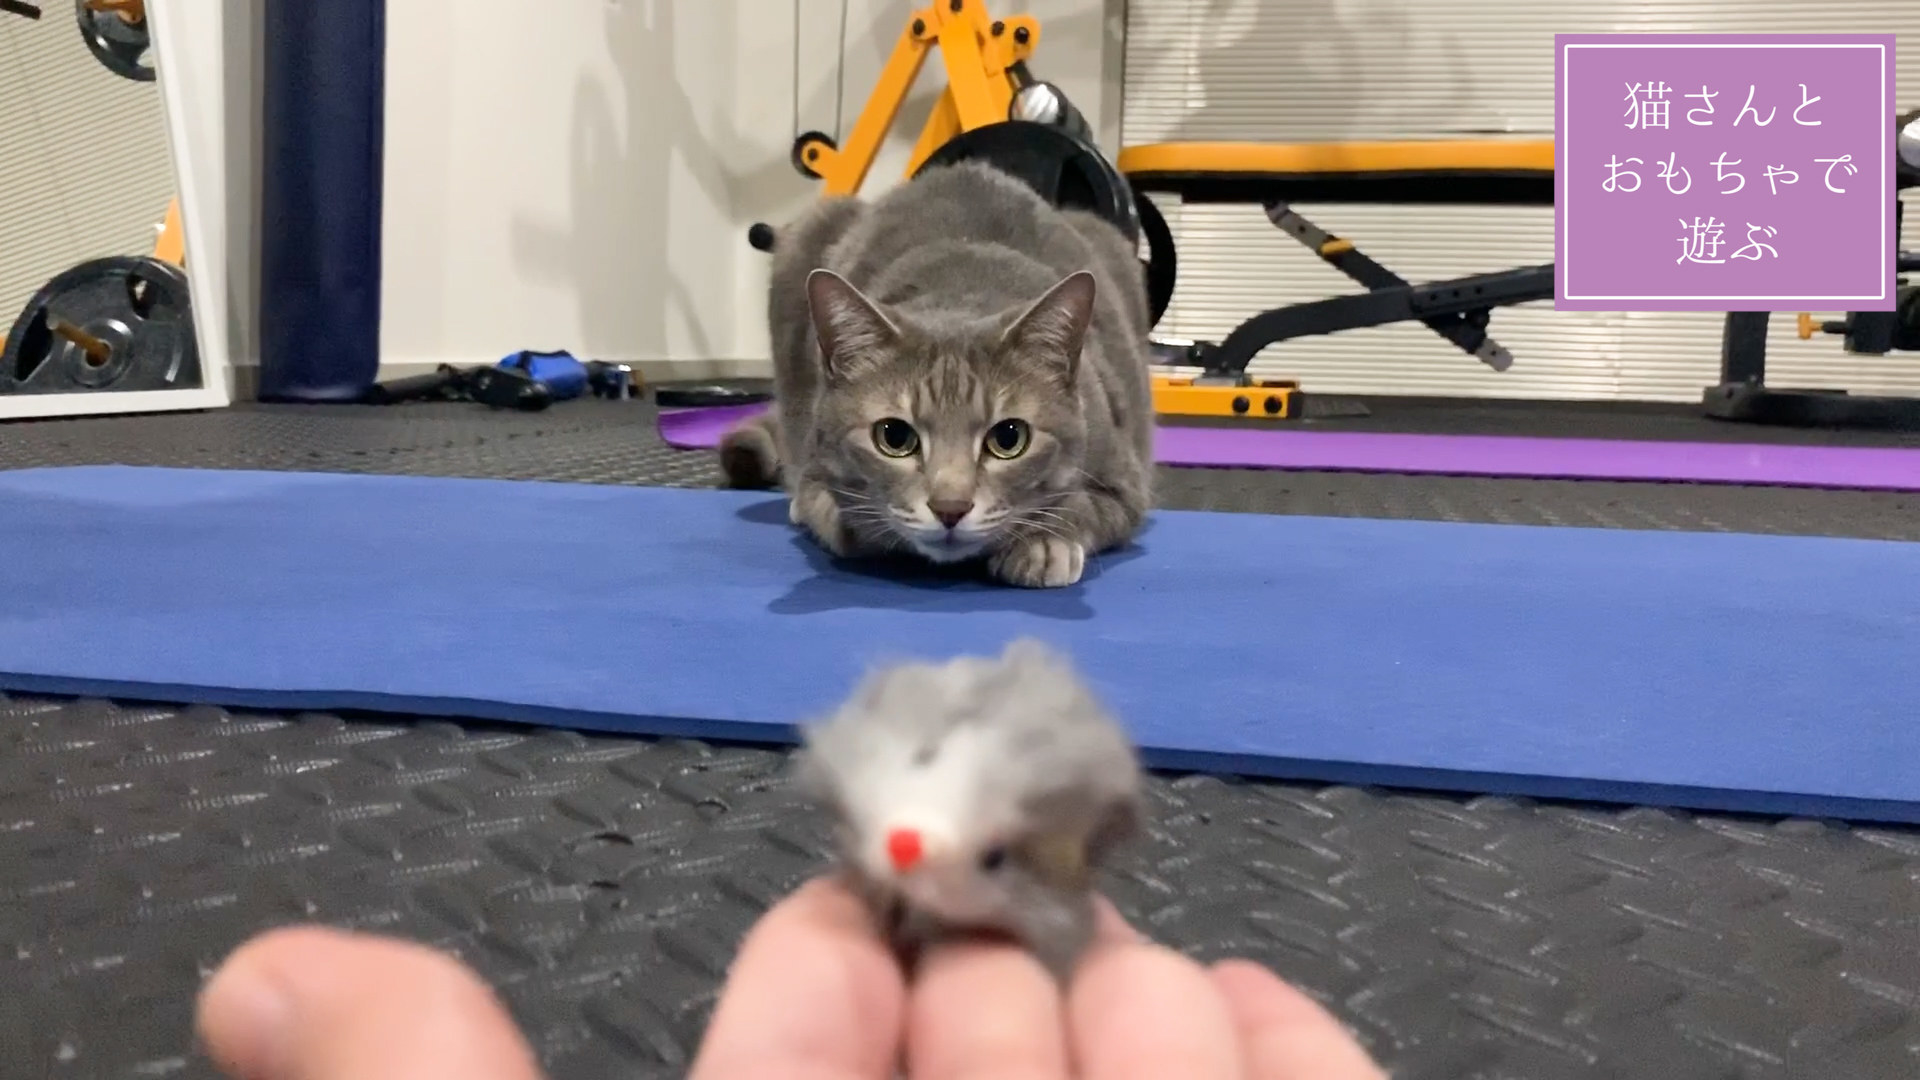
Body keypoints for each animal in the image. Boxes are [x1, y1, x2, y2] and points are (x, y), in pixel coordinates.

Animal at [719, 161, 1155, 588]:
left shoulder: (1126, 482)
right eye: (894, 437)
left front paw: (1044, 543)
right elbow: (837, 513)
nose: (950, 508)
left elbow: (1085, 504)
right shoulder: (817, 471)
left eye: (1009, 438)